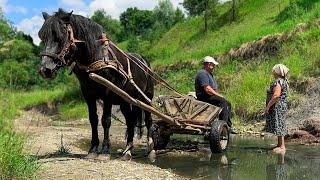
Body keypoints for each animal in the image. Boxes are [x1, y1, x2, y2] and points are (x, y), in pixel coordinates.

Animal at [38, 8, 156, 159]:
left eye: (60, 36)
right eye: (43, 37)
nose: (45, 70)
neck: (96, 56)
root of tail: (144, 61)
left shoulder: (108, 92)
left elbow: (106, 120)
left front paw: (105, 150)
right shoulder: (88, 93)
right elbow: (93, 119)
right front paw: (93, 149)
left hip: (147, 97)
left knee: (149, 120)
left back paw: (151, 150)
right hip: (126, 100)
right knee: (130, 121)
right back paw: (127, 150)